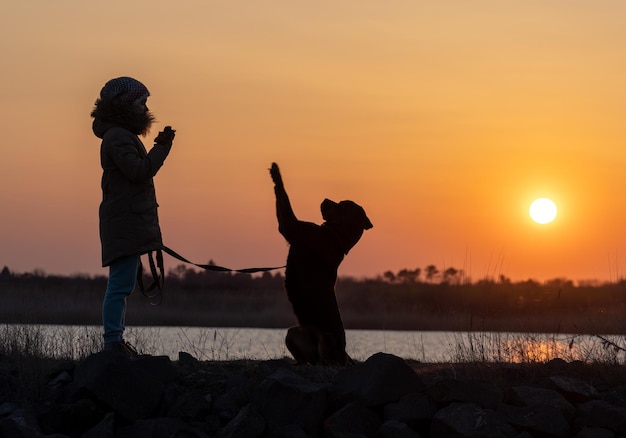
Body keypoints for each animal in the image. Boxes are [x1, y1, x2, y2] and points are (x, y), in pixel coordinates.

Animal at [268, 163, 370, 364]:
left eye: (343, 205)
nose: (325, 199)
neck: (336, 236)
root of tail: (344, 354)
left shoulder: (292, 227)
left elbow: (284, 195)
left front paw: (276, 173)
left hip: (327, 338)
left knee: (328, 360)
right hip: (292, 333)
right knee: (309, 358)